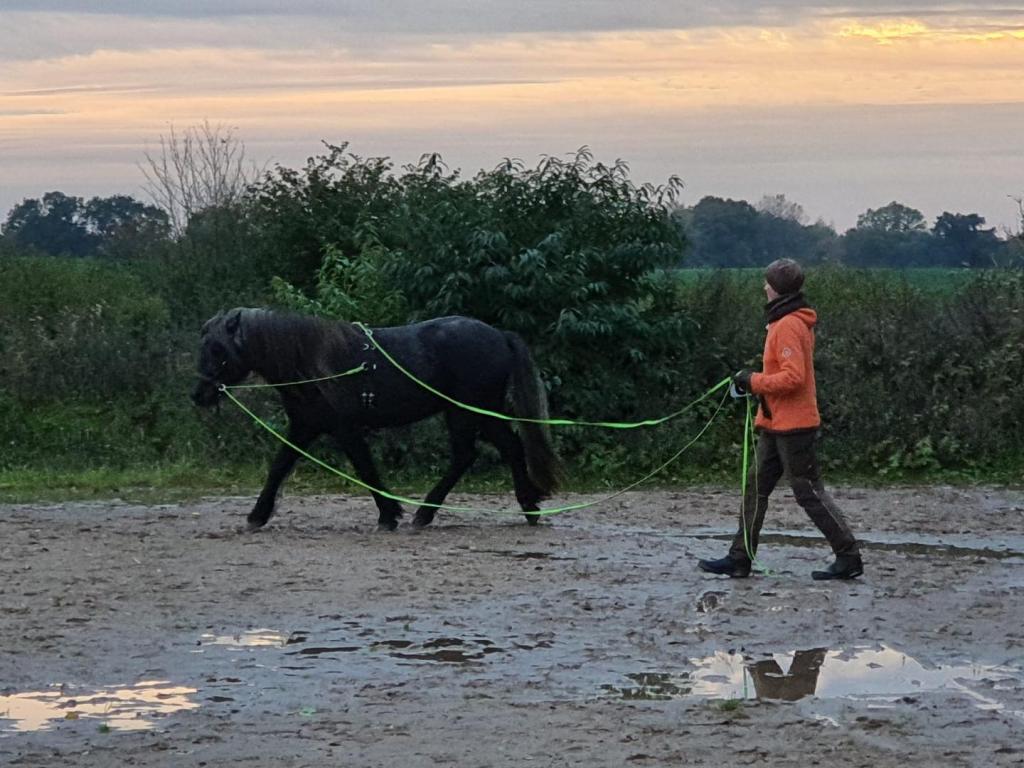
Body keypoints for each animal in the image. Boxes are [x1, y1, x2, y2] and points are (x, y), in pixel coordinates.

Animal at [191, 308, 562, 531]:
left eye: (218, 349)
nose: (199, 394)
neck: (311, 361)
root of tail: (499, 336)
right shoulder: (304, 427)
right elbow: (279, 467)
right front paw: (258, 515)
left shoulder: (345, 429)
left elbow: (365, 468)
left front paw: (389, 514)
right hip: (474, 413)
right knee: (503, 449)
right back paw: (527, 507)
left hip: (466, 411)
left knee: (470, 454)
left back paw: (426, 512)